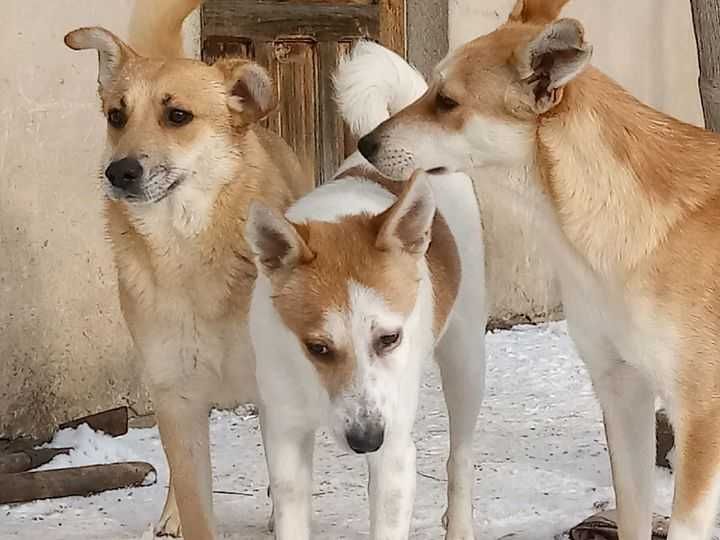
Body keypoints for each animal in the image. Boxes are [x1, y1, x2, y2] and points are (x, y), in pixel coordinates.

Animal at [67, 2, 312, 536]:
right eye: (116, 116)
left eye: (177, 115)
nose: (119, 172)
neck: (186, 250)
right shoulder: (176, 396)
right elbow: (194, 492)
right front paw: (184, 514)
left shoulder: (276, 390)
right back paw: (171, 514)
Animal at [248, 43, 490, 540]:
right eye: (317, 347)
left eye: (390, 338)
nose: (365, 440)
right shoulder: (284, 437)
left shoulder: (394, 453)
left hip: (465, 361)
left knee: (460, 459)